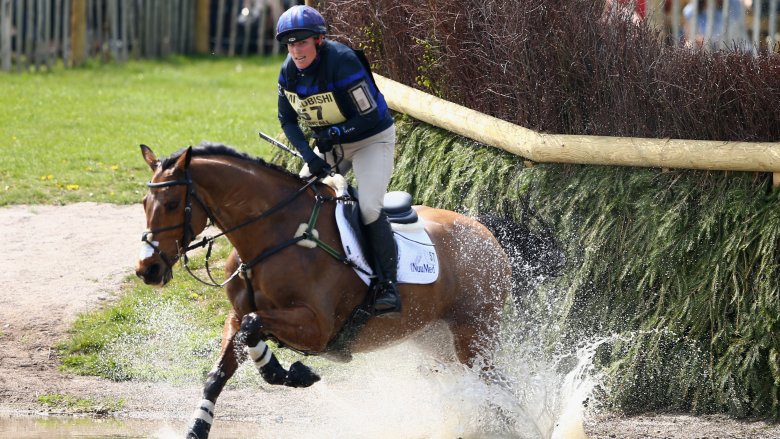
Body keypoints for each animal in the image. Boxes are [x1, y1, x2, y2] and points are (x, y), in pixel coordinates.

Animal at [137, 144, 516, 439]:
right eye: (143, 202)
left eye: (172, 204)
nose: (147, 269)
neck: (273, 237)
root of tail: (486, 233)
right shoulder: (236, 315)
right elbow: (224, 363)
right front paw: (197, 428)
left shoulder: (317, 329)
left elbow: (254, 324)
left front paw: (292, 373)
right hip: (435, 340)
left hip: (473, 336)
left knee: (495, 386)